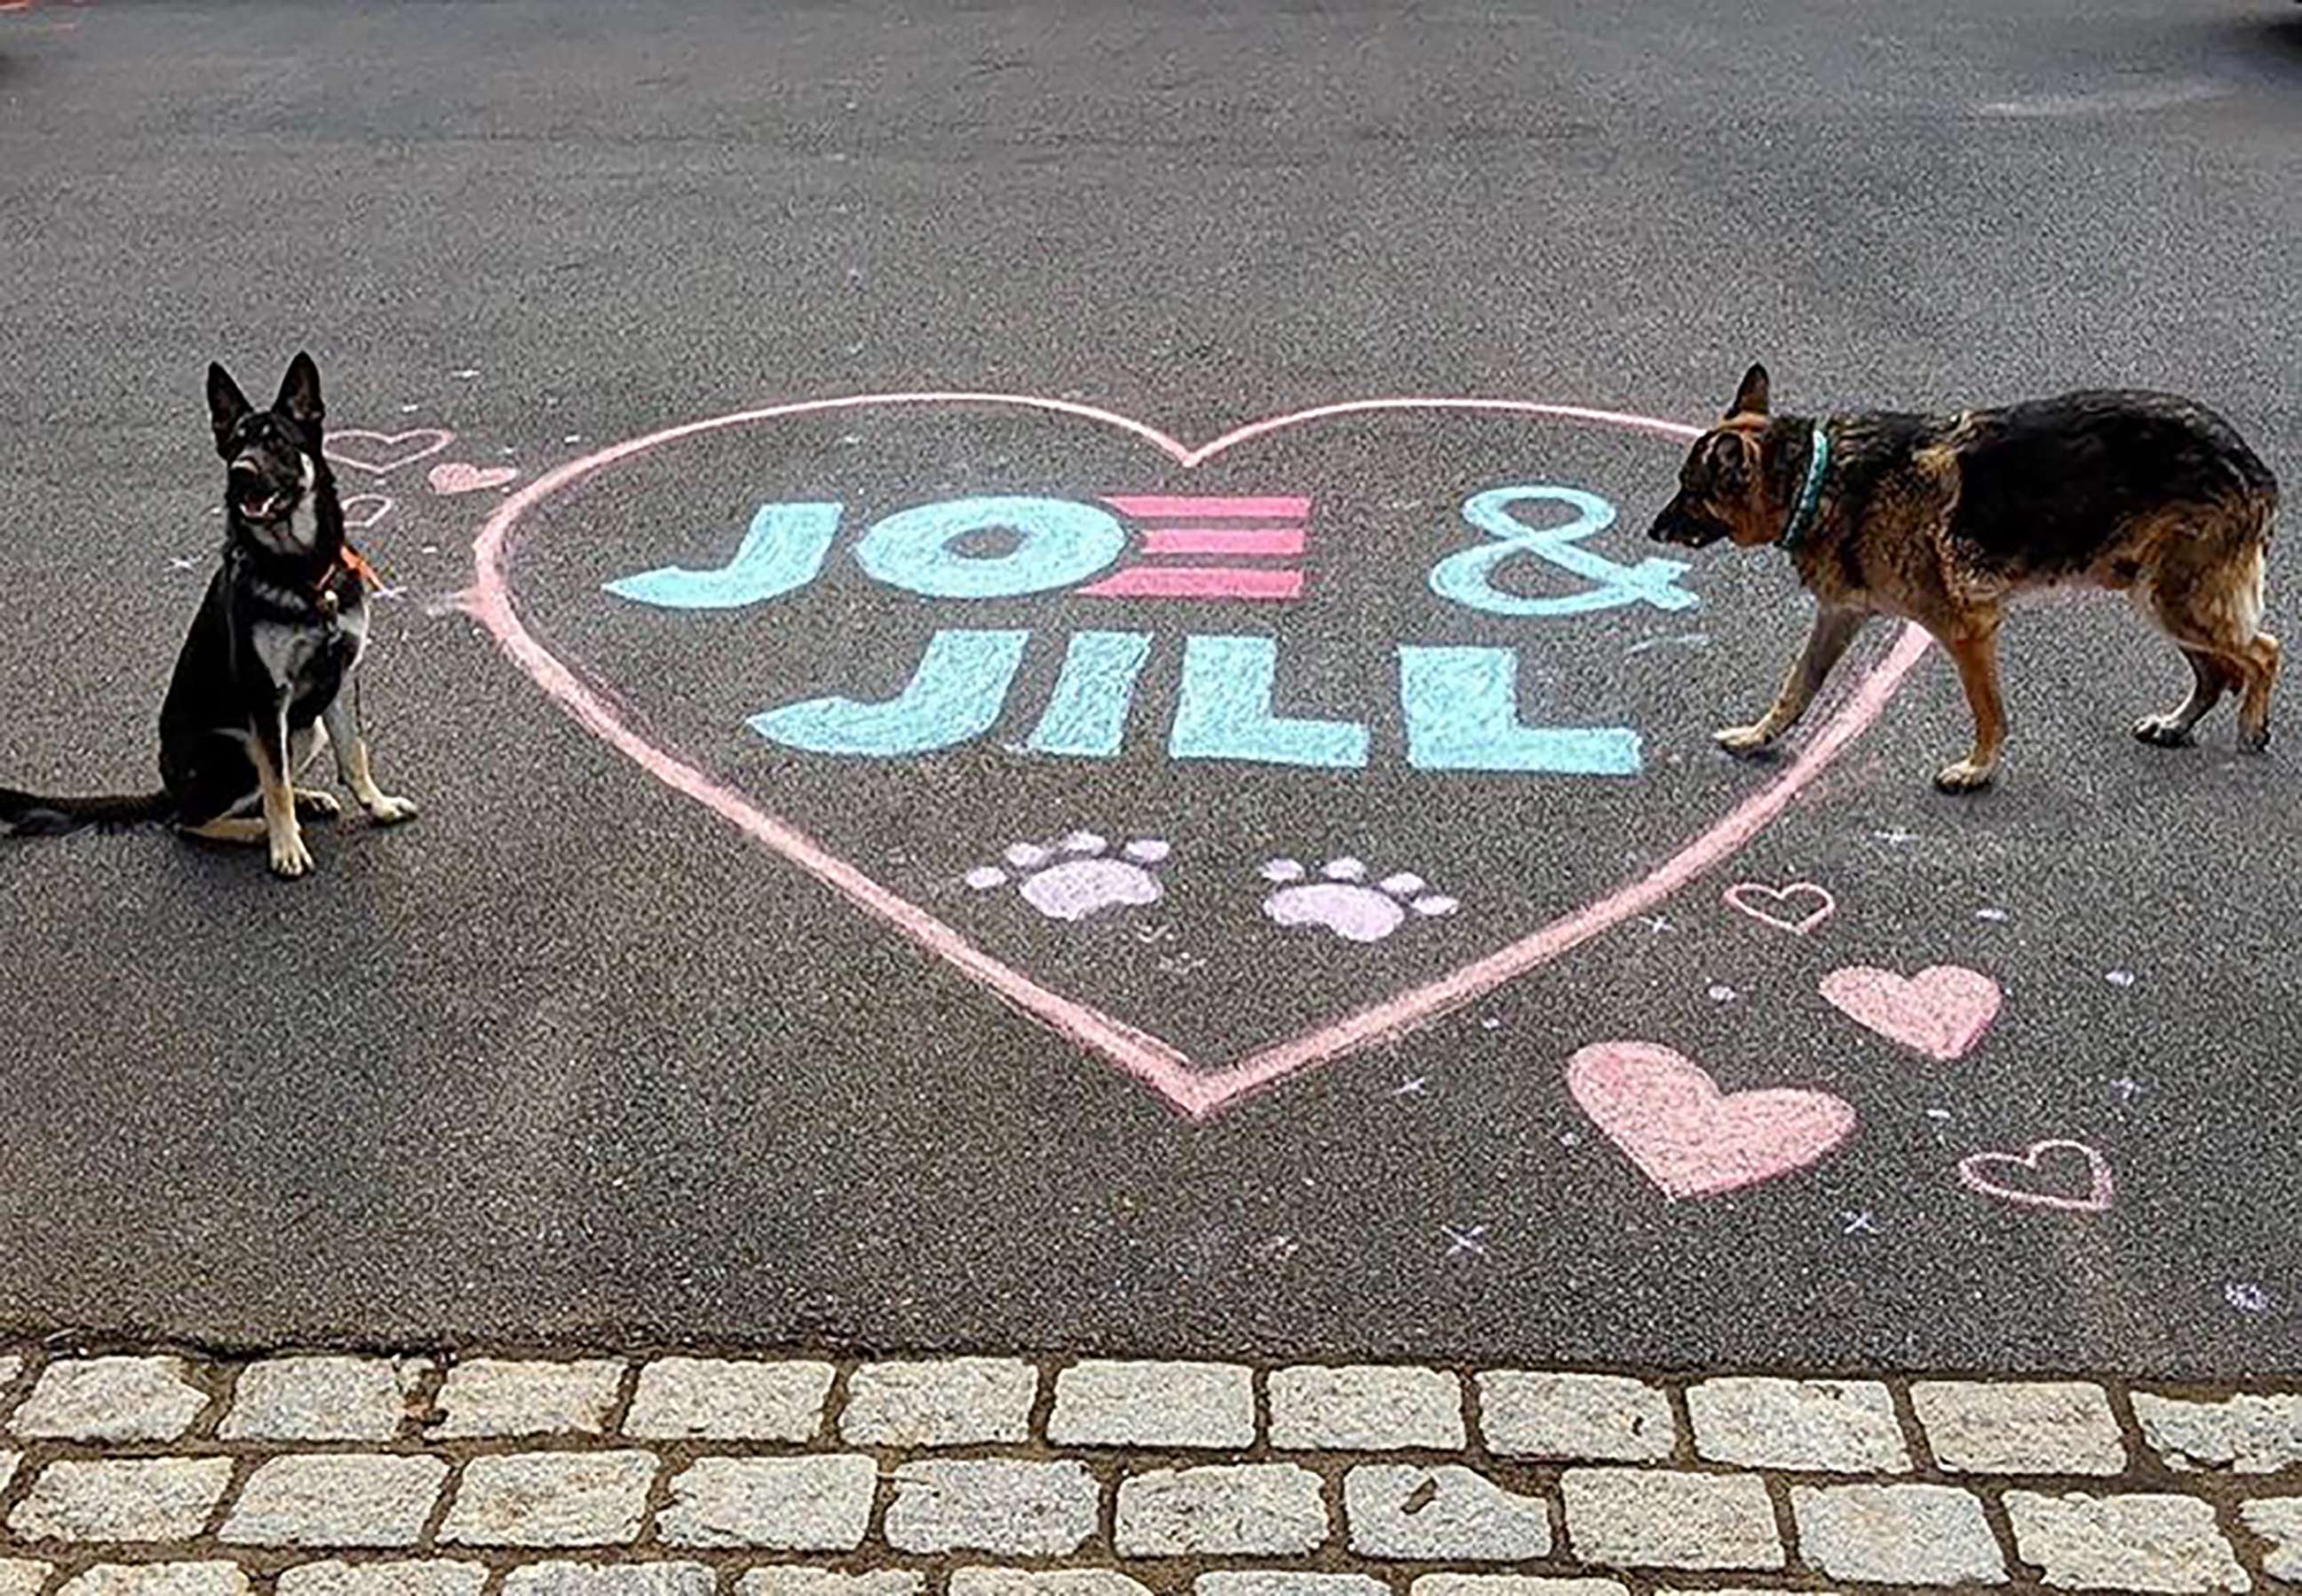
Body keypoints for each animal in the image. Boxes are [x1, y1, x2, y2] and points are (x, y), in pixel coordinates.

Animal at [1647, 359, 2274, 782]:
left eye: (1689, 491)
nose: (1652, 530)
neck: (1817, 479)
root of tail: (2251, 461)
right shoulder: (1839, 618)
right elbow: (1797, 687)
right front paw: (1758, 737)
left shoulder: (1967, 631)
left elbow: (1988, 711)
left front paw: (1978, 769)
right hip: (2157, 595)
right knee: (2216, 671)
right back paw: (2177, 724)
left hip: (2172, 599)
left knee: (2263, 651)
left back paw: (2253, 725)